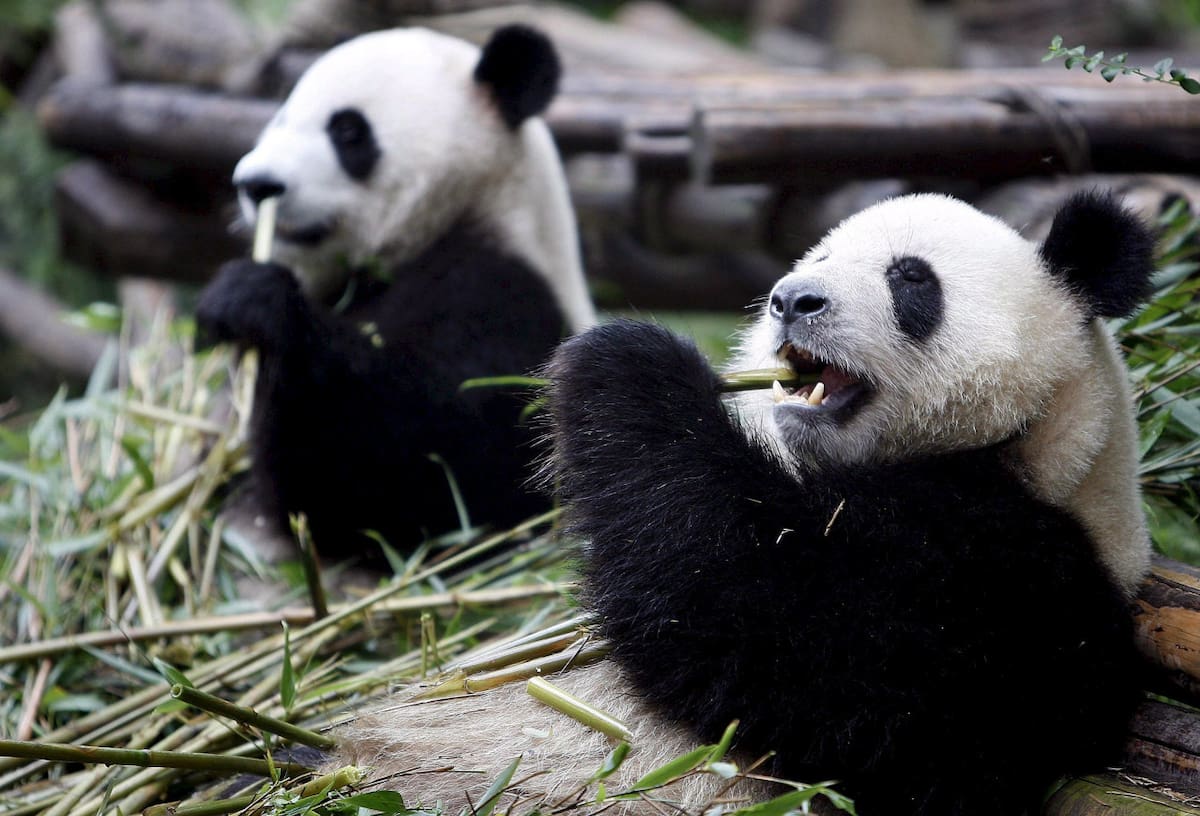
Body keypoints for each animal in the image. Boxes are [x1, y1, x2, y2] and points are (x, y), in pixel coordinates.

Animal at [196, 25, 594, 558]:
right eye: (281, 118)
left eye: (348, 131)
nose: (257, 185)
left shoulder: (509, 297)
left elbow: (438, 465)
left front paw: (258, 305)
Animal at [327, 191, 1154, 816]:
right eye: (816, 260)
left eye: (912, 280)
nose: (794, 300)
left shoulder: (1014, 581)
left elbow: (772, 624)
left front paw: (623, 360)